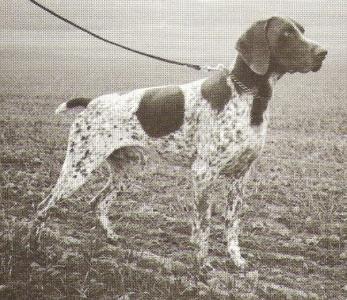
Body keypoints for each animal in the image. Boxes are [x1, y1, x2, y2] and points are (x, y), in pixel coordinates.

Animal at [33, 17, 328, 268]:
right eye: (286, 33)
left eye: (302, 30)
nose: (324, 52)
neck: (247, 96)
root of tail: (91, 101)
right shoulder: (203, 174)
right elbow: (204, 224)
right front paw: (203, 266)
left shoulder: (239, 177)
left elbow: (231, 225)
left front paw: (237, 262)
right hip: (77, 168)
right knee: (42, 207)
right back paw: (34, 247)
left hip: (127, 170)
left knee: (97, 203)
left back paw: (109, 237)